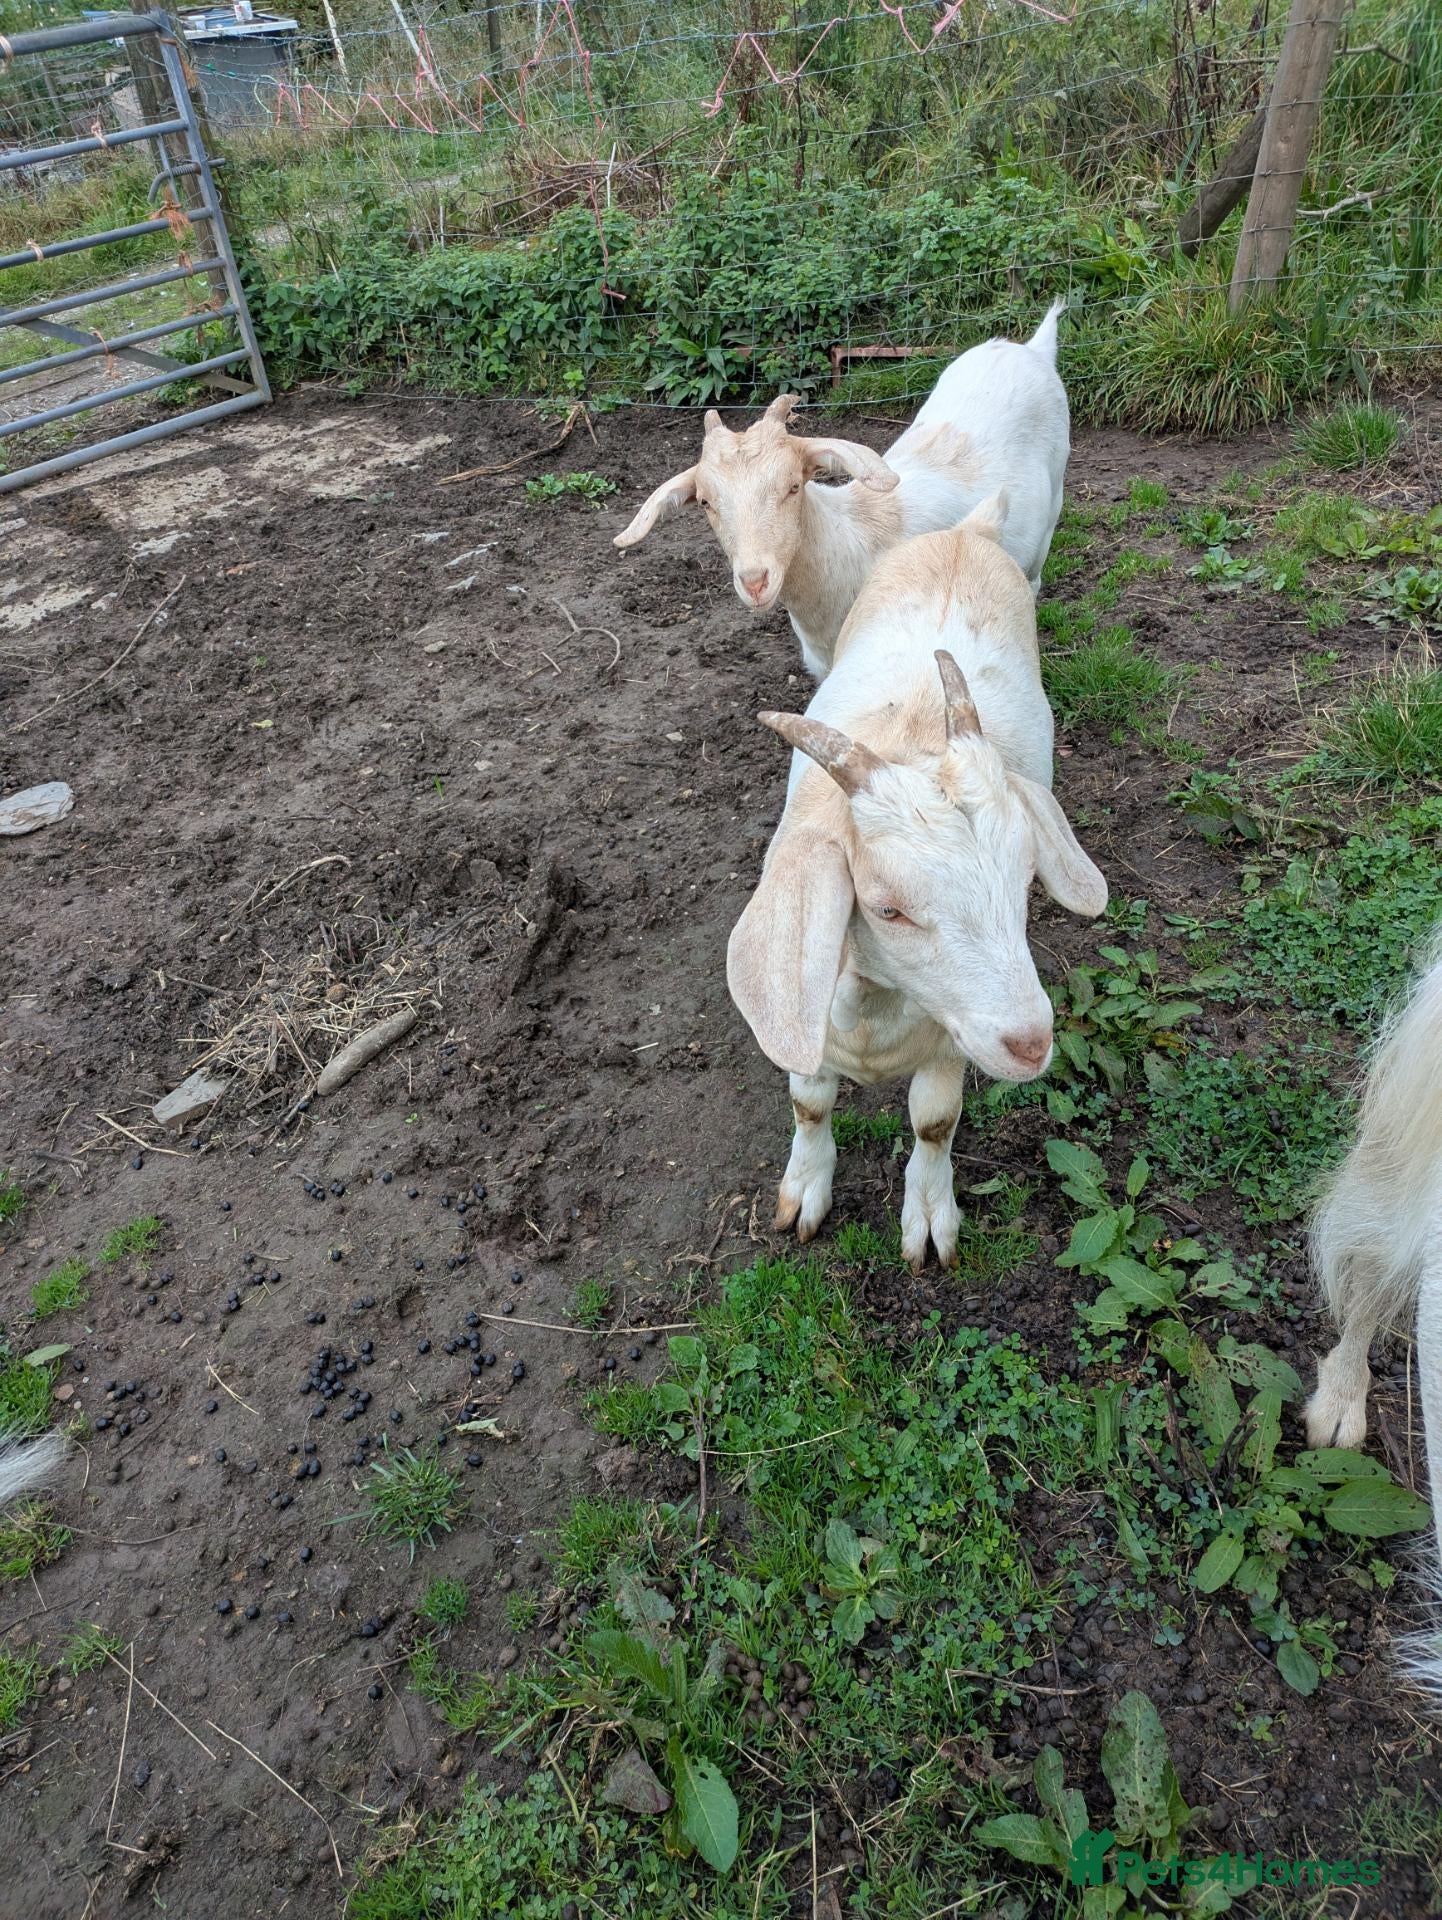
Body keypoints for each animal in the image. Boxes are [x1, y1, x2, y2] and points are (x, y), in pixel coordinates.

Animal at [615, 301, 1069, 680]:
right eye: (706, 502)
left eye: (793, 486)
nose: (755, 581)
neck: (850, 542)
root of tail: (1031, 347)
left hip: (1054, 498)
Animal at [726, 492, 1106, 1271]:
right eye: (887, 909)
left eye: (1027, 881)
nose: (1030, 1043)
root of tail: (967, 534)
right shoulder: (811, 1020)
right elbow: (809, 1105)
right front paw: (803, 1192)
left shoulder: (949, 1038)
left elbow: (934, 1122)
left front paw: (930, 1219)